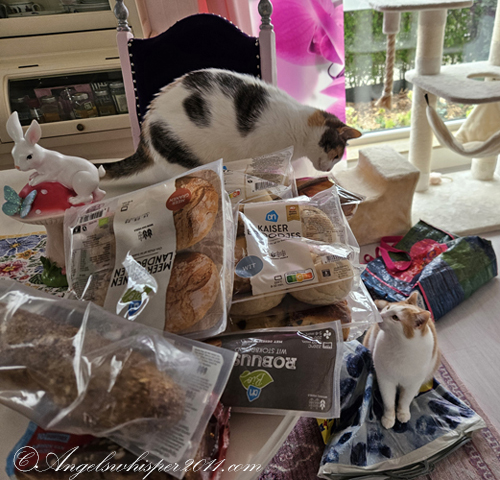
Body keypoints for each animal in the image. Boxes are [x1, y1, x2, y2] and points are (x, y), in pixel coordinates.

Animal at [363, 292, 440, 429]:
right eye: (388, 308)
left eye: (395, 317)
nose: (380, 315)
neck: (400, 347)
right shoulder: (386, 380)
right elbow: (388, 402)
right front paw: (389, 418)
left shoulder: (412, 383)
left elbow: (405, 401)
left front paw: (403, 413)